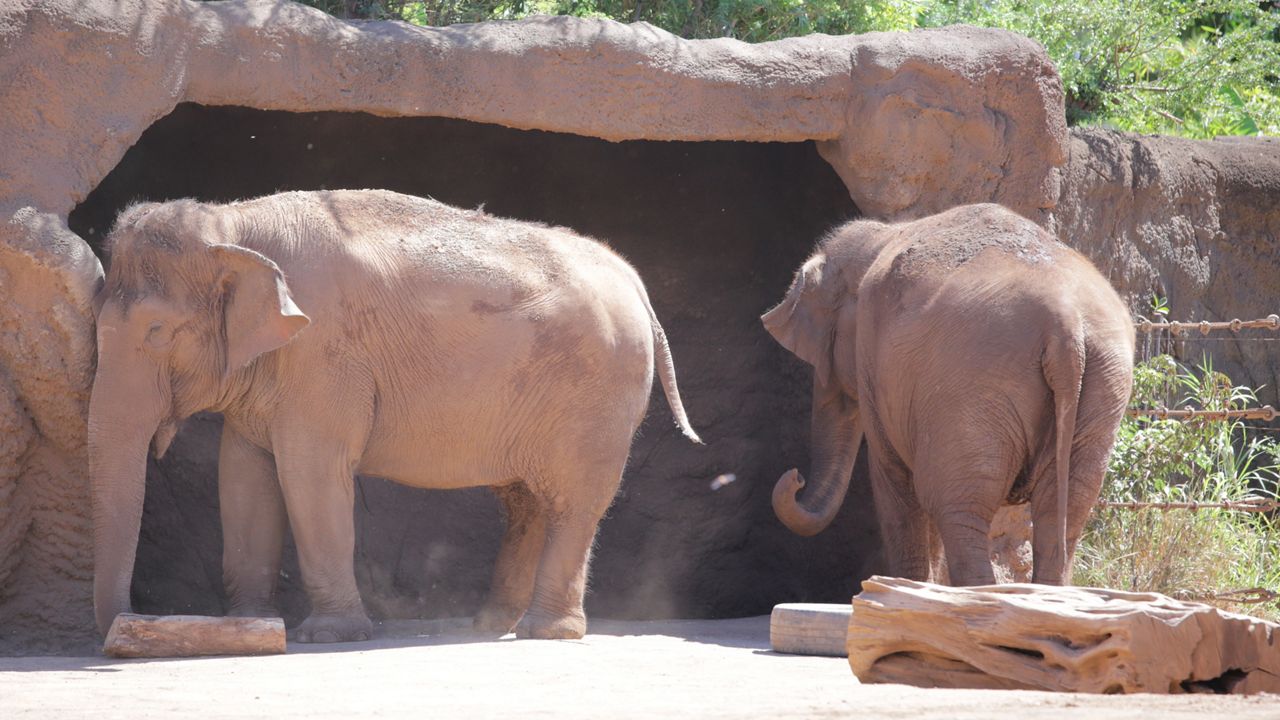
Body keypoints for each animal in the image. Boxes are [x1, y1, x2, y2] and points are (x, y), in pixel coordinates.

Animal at [90, 189, 701, 638]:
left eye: (156, 331)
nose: (126, 623)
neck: (234, 227)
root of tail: (634, 281)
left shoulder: (324, 357)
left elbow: (311, 473)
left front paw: (330, 635)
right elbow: (244, 478)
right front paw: (252, 625)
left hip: (599, 394)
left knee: (573, 503)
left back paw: (546, 633)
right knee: (526, 502)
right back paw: (490, 625)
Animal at [757, 199, 1131, 584]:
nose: (795, 478)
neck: (883, 234)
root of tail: (1065, 325)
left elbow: (894, 481)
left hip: (973, 388)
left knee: (958, 509)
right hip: (1102, 384)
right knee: (1064, 511)